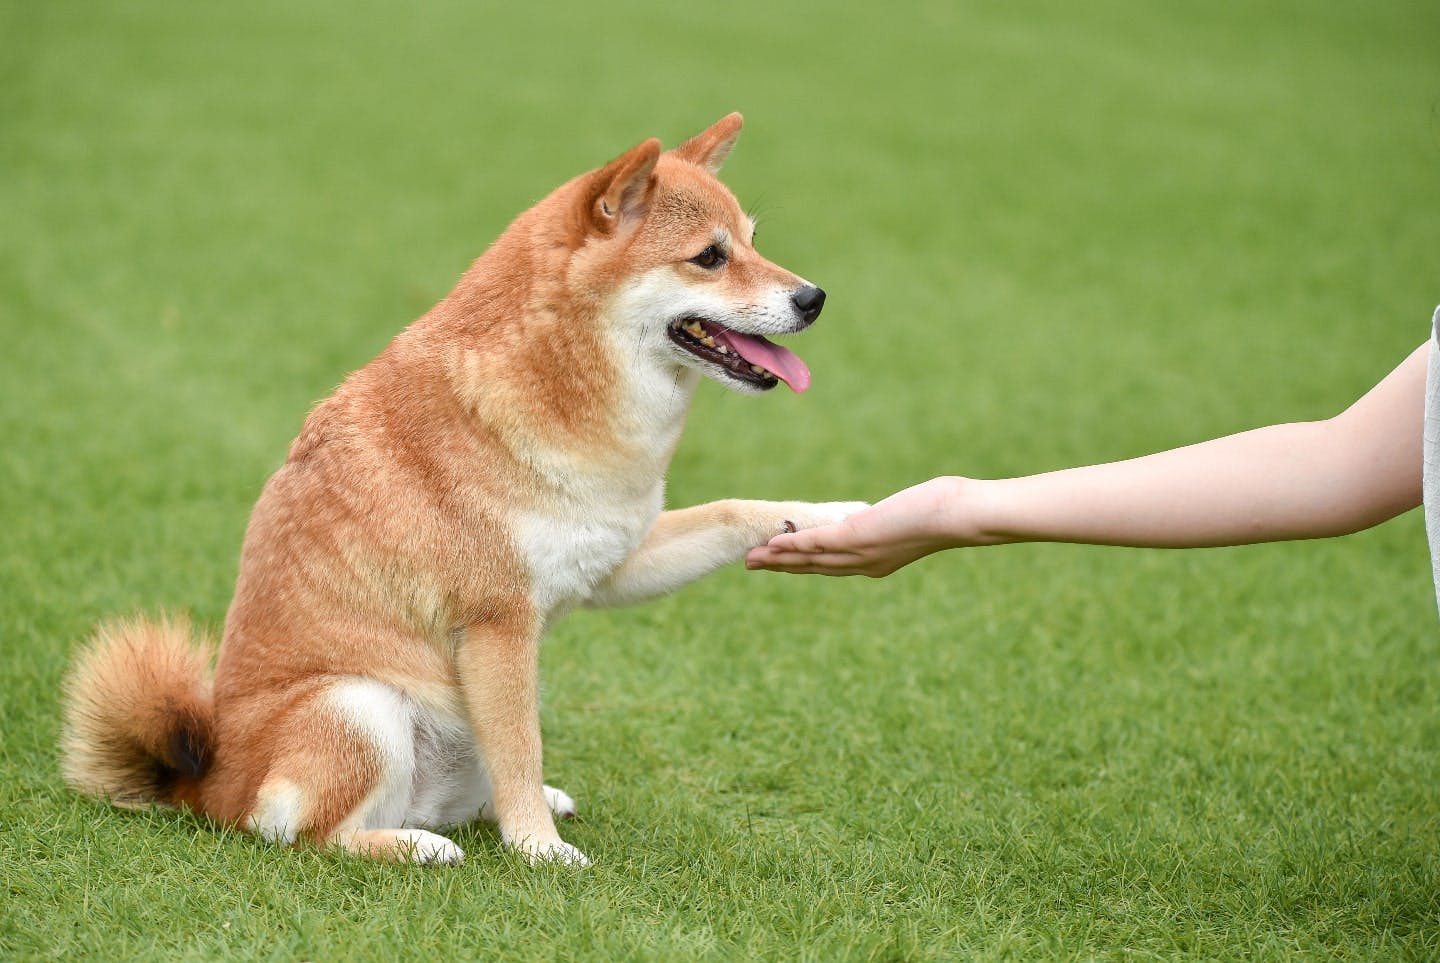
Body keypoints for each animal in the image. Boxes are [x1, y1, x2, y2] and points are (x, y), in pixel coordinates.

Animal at [61, 112, 858, 863]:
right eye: (709, 257)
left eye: (751, 242)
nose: (815, 297)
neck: (561, 386)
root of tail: (205, 785)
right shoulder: (497, 623)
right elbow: (521, 750)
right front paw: (540, 851)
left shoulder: (611, 560)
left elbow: (731, 510)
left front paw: (828, 515)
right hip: (360, 705)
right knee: (299, 832)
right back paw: (416, 846)